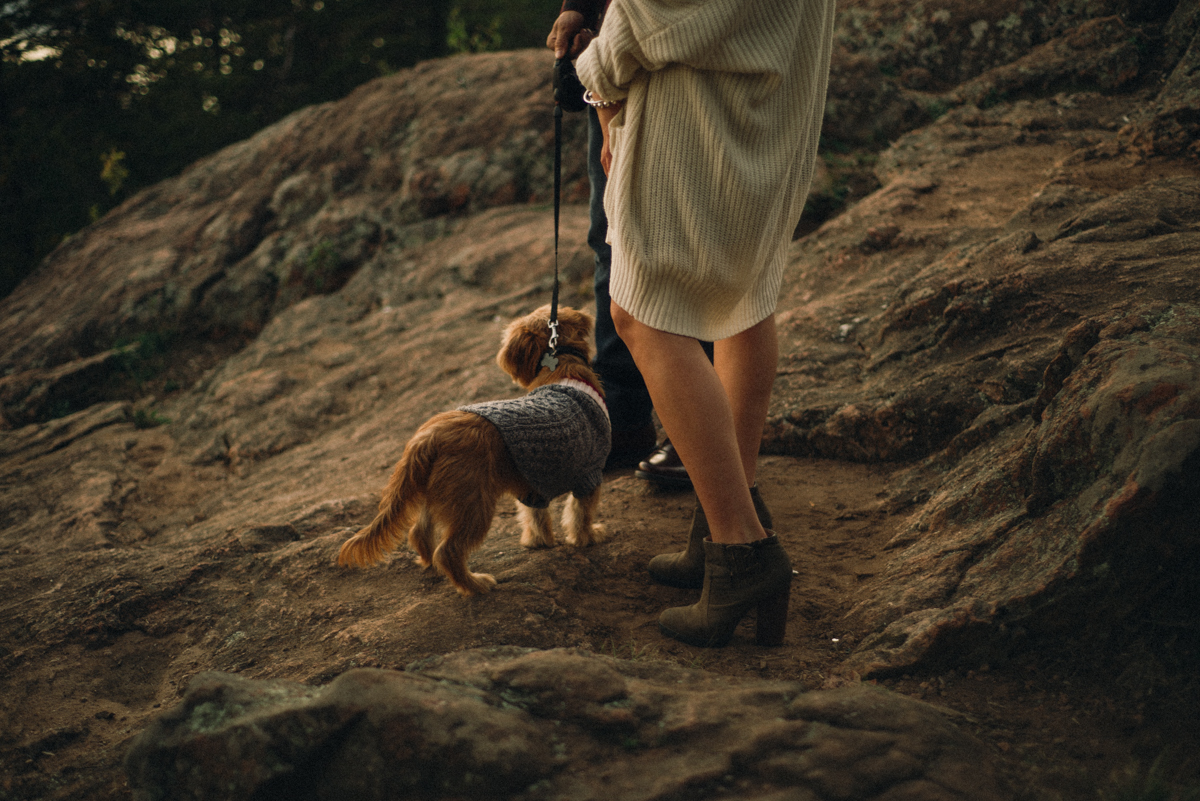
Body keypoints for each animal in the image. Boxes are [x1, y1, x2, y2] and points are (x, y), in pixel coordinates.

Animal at [343, 306, 614, 594]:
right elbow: (580, 514)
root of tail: (428, 436)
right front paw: (587, 538)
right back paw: (474, 585)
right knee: (448, 551)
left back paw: (431, 565)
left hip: (437, 495)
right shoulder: (589, 476)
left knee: (419, 533)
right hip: (474, 504)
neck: (563, 369)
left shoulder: (532, 484)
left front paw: (539, 542)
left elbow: (535, 517)